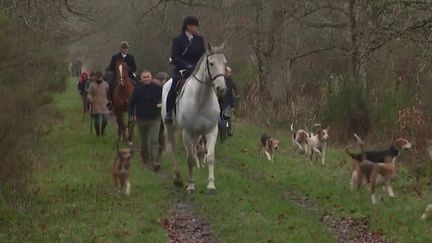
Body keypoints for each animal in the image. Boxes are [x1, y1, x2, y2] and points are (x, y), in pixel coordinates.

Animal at [162, 42, 228, 193]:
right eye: (211, 63)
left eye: (225, 63)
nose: (221, 89)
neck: (201, 99)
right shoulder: (188, 132)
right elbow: (190, 160)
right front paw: (191, 185)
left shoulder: (211, 131)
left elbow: (210, 157)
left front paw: (211, 185)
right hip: (171, 128)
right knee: (174, 150)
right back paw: (177, 178)